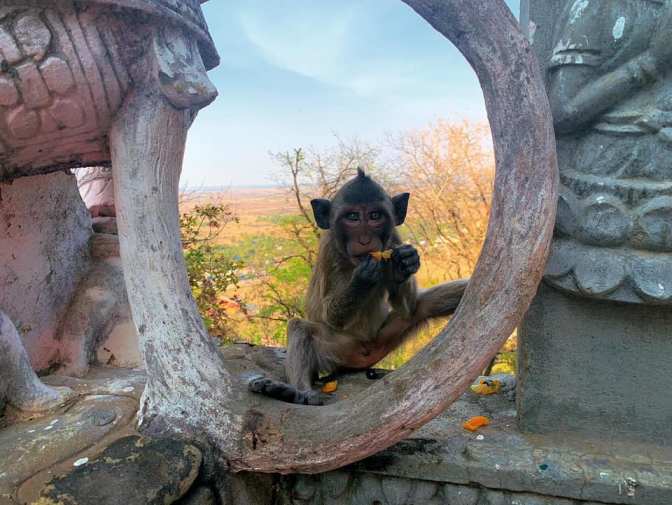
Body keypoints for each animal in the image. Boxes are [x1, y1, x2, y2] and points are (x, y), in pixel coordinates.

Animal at [249, 169, 468, 405]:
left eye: (375, 216)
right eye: (352, 217)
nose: (364, 239)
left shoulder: (394, 239)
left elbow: (408, 308)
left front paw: (404, 264)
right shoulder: (329, 250)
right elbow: (330, 315)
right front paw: (362, 280)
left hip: (384, 337)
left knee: (426, 305)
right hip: (337, 350)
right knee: (300, 328)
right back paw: (297, 393)